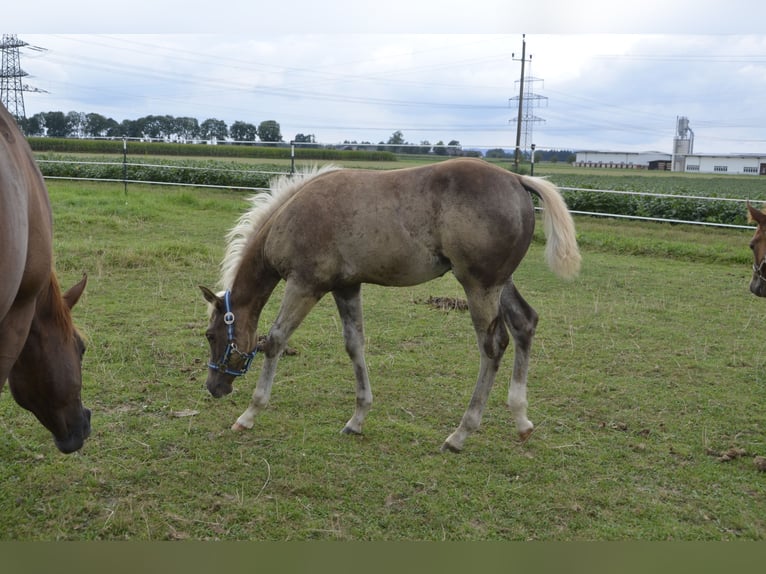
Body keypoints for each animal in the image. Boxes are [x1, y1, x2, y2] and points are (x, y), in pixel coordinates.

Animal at [200, 159, 584, 454]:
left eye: (210, 335)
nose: (214, 388)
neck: (291, 214)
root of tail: (517, 179)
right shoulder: (346, 286)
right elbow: (354, 344)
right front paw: (357, 419)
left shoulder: (305, 284)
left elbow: (276, 339)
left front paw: (249, 415)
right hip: (500, 283)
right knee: (524, 324)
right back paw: (521, 420)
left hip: (480, 286)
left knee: (493, 346)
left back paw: (460, 434)